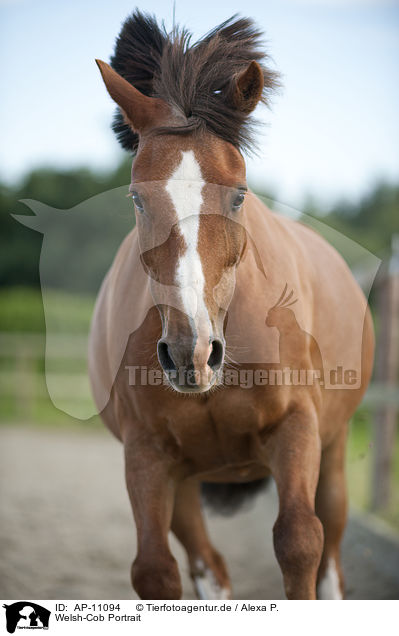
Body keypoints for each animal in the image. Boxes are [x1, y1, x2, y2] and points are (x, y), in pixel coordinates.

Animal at [90, 13, 376, 600]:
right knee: (208, 565)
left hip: (335, 452)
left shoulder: (297, 429)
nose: (191, 353)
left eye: (239, 194)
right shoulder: (146, 453)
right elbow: (154, 570)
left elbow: (300, 542)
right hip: (183, 483)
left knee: (331, 555)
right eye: (137, 198)